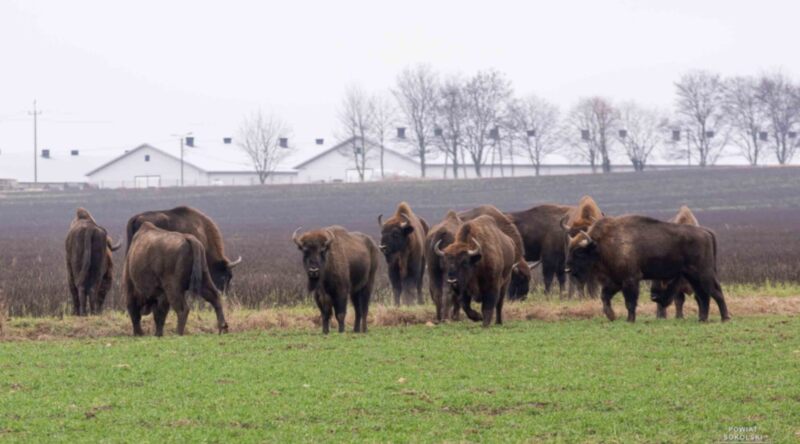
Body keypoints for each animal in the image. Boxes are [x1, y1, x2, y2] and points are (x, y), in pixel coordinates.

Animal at [564, 215, 728, 322]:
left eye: (579, 252)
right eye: (569, 249)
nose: (568, 270)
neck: (601, 244)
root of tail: (706, 232)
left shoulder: (630, 280)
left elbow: (630, 302)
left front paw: (630, 320)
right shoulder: (615, 281)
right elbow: (605, 296)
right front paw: (612, 316)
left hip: (703, 273)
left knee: (715, 292)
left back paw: (725, 318)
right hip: (692, 276)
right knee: (703, 295)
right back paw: (702, 319)